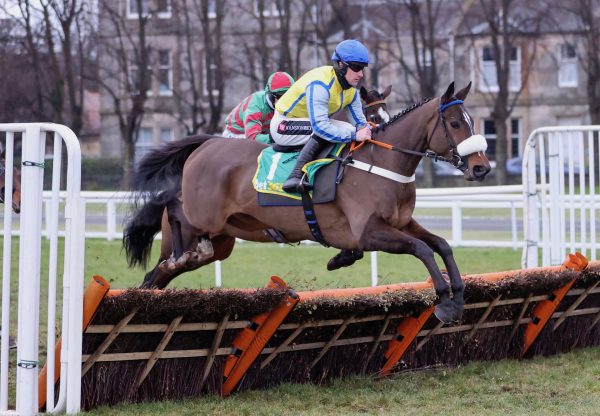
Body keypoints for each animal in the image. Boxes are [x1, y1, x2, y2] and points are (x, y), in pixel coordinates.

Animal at [125, 86, 394, 288]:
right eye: (372, 117)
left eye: (387, 116)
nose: (379, 136)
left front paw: (341, 257)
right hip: (187, 231)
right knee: (160, 263)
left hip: (221, 242)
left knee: (162, 273)